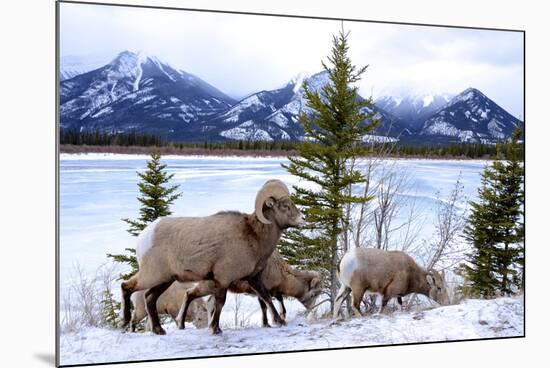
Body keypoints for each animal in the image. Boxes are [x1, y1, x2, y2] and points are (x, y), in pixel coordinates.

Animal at [119, 180, 306, 334]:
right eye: (285, 206)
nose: (302, 219)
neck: (253, 236)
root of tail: (144, 237)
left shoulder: (254, 278)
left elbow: (266, 297)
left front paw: (280, 322)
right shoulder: (223, 279)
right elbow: (220, 303)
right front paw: (215, 329)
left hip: (165, 279)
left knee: (149, 298)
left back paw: (159, 330)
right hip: (152, 276)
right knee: (126, 286)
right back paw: (125, 322)